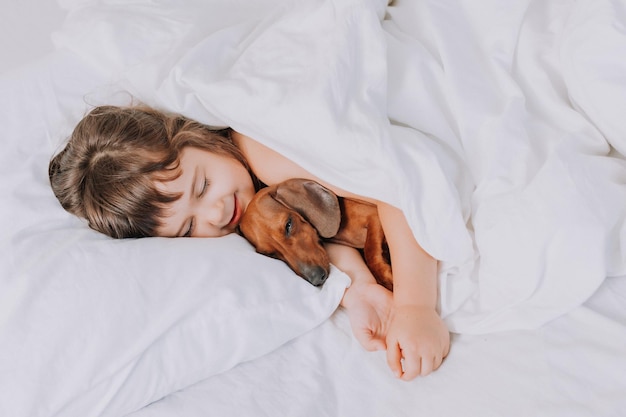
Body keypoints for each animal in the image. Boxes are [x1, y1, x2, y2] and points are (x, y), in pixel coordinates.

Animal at [238, 178, 390, 290]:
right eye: (271, 255)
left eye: (288, 225)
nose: (317, 279)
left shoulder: (375, 216)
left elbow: (371, 254)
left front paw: (388, 278)